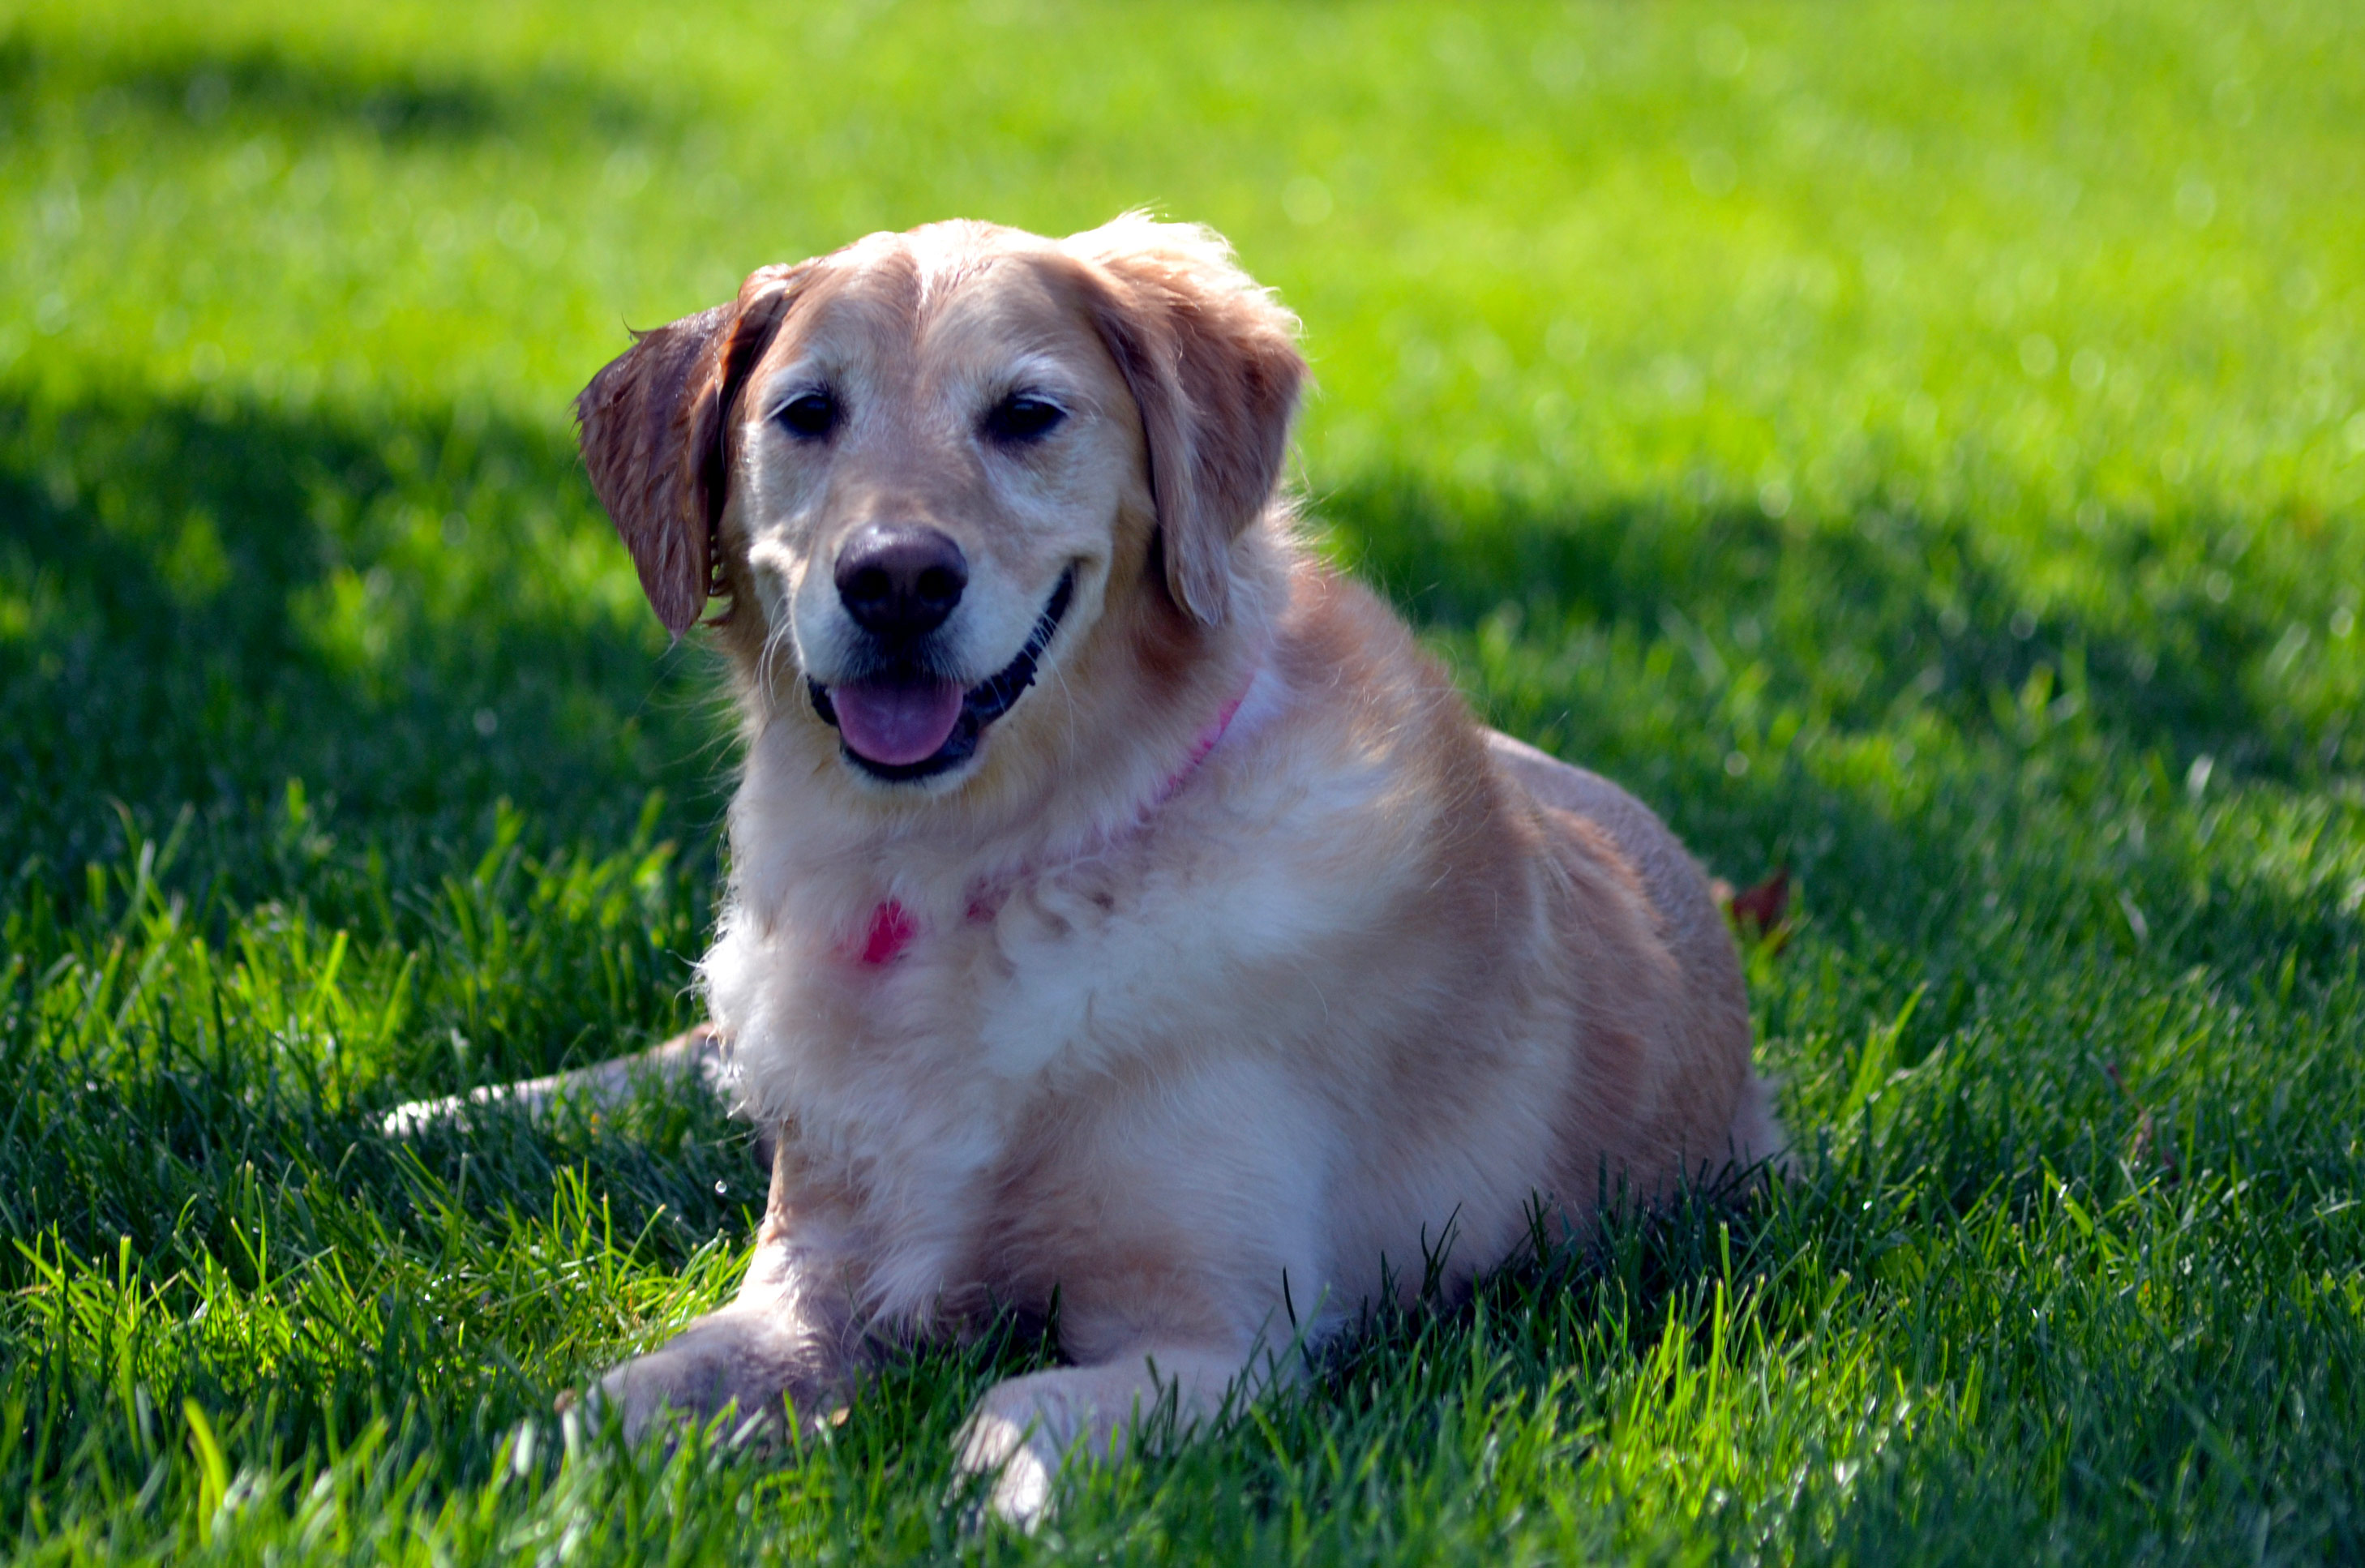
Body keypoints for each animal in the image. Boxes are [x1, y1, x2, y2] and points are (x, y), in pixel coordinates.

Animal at [418, 214, 1781, 1523]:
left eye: (1027, 413)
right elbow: (615, 1397)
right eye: (806, 413)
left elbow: (1014, 1406)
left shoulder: (1222, 1333)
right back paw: (437, 1111)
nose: (895, 579)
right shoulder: (807, 1278)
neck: (981, 871)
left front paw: (996, 1503)